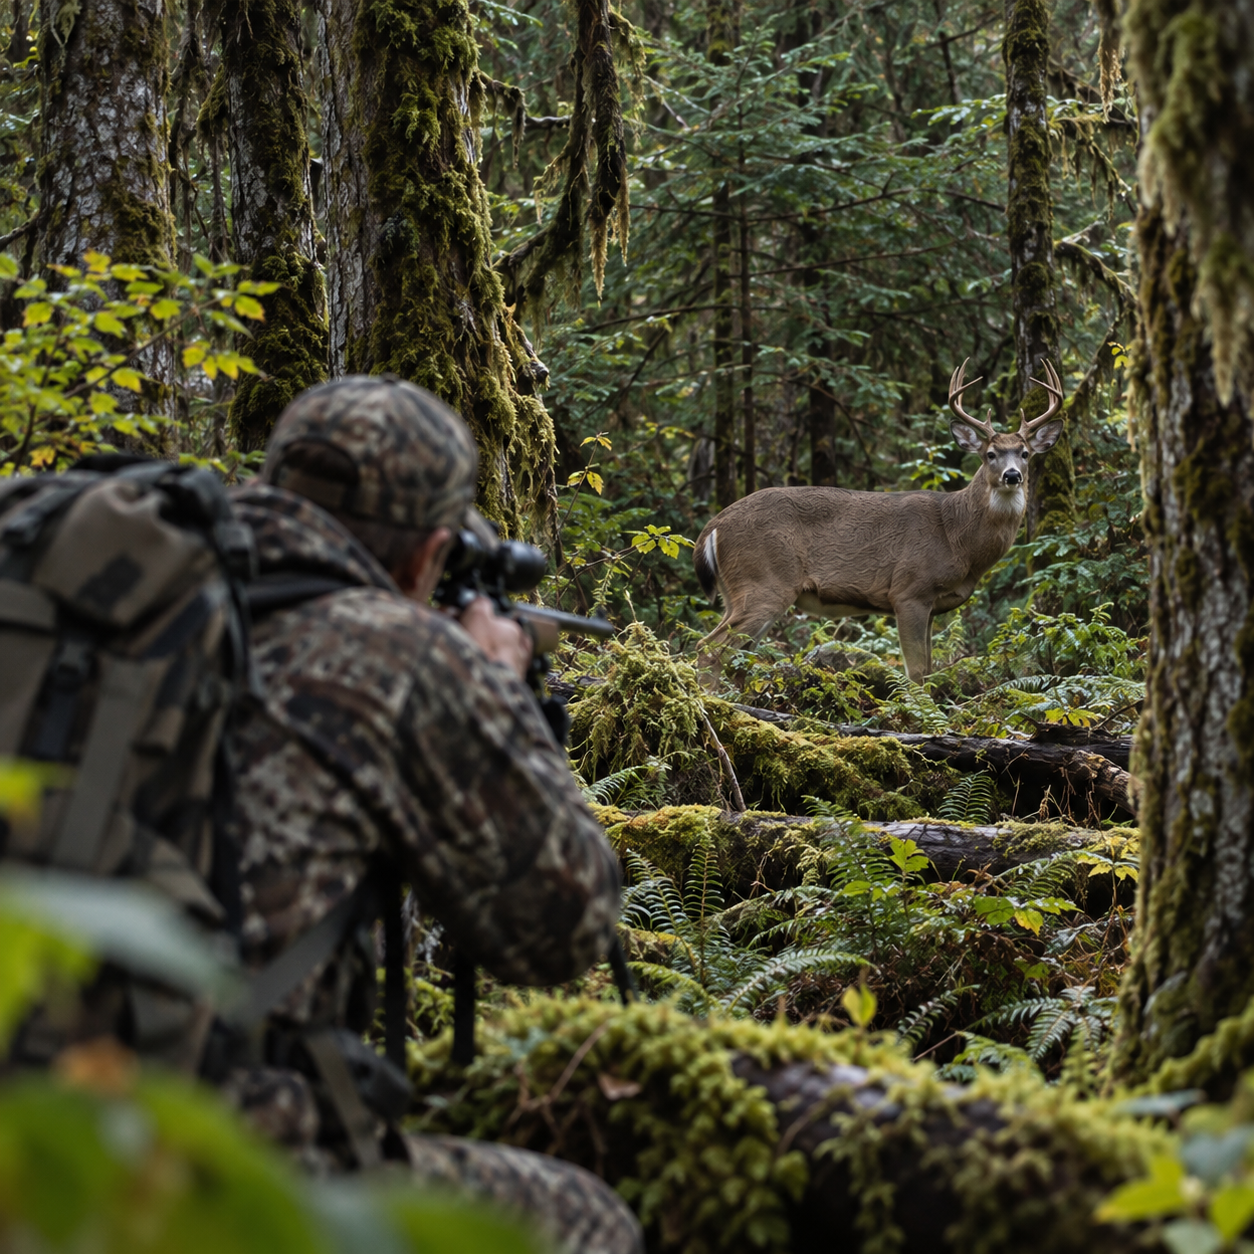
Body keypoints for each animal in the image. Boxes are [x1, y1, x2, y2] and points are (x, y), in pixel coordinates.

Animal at [693, 359, 1065, 685]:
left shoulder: (931, 606)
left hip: (739, 591)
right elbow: (917, 672)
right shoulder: (909, 590)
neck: (957, 537)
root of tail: (713, 526)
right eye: (990, 454)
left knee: (738, 657)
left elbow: (929, 670)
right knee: (709, 647)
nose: (1012, 475)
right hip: (763, 580)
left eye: (1025, 453)